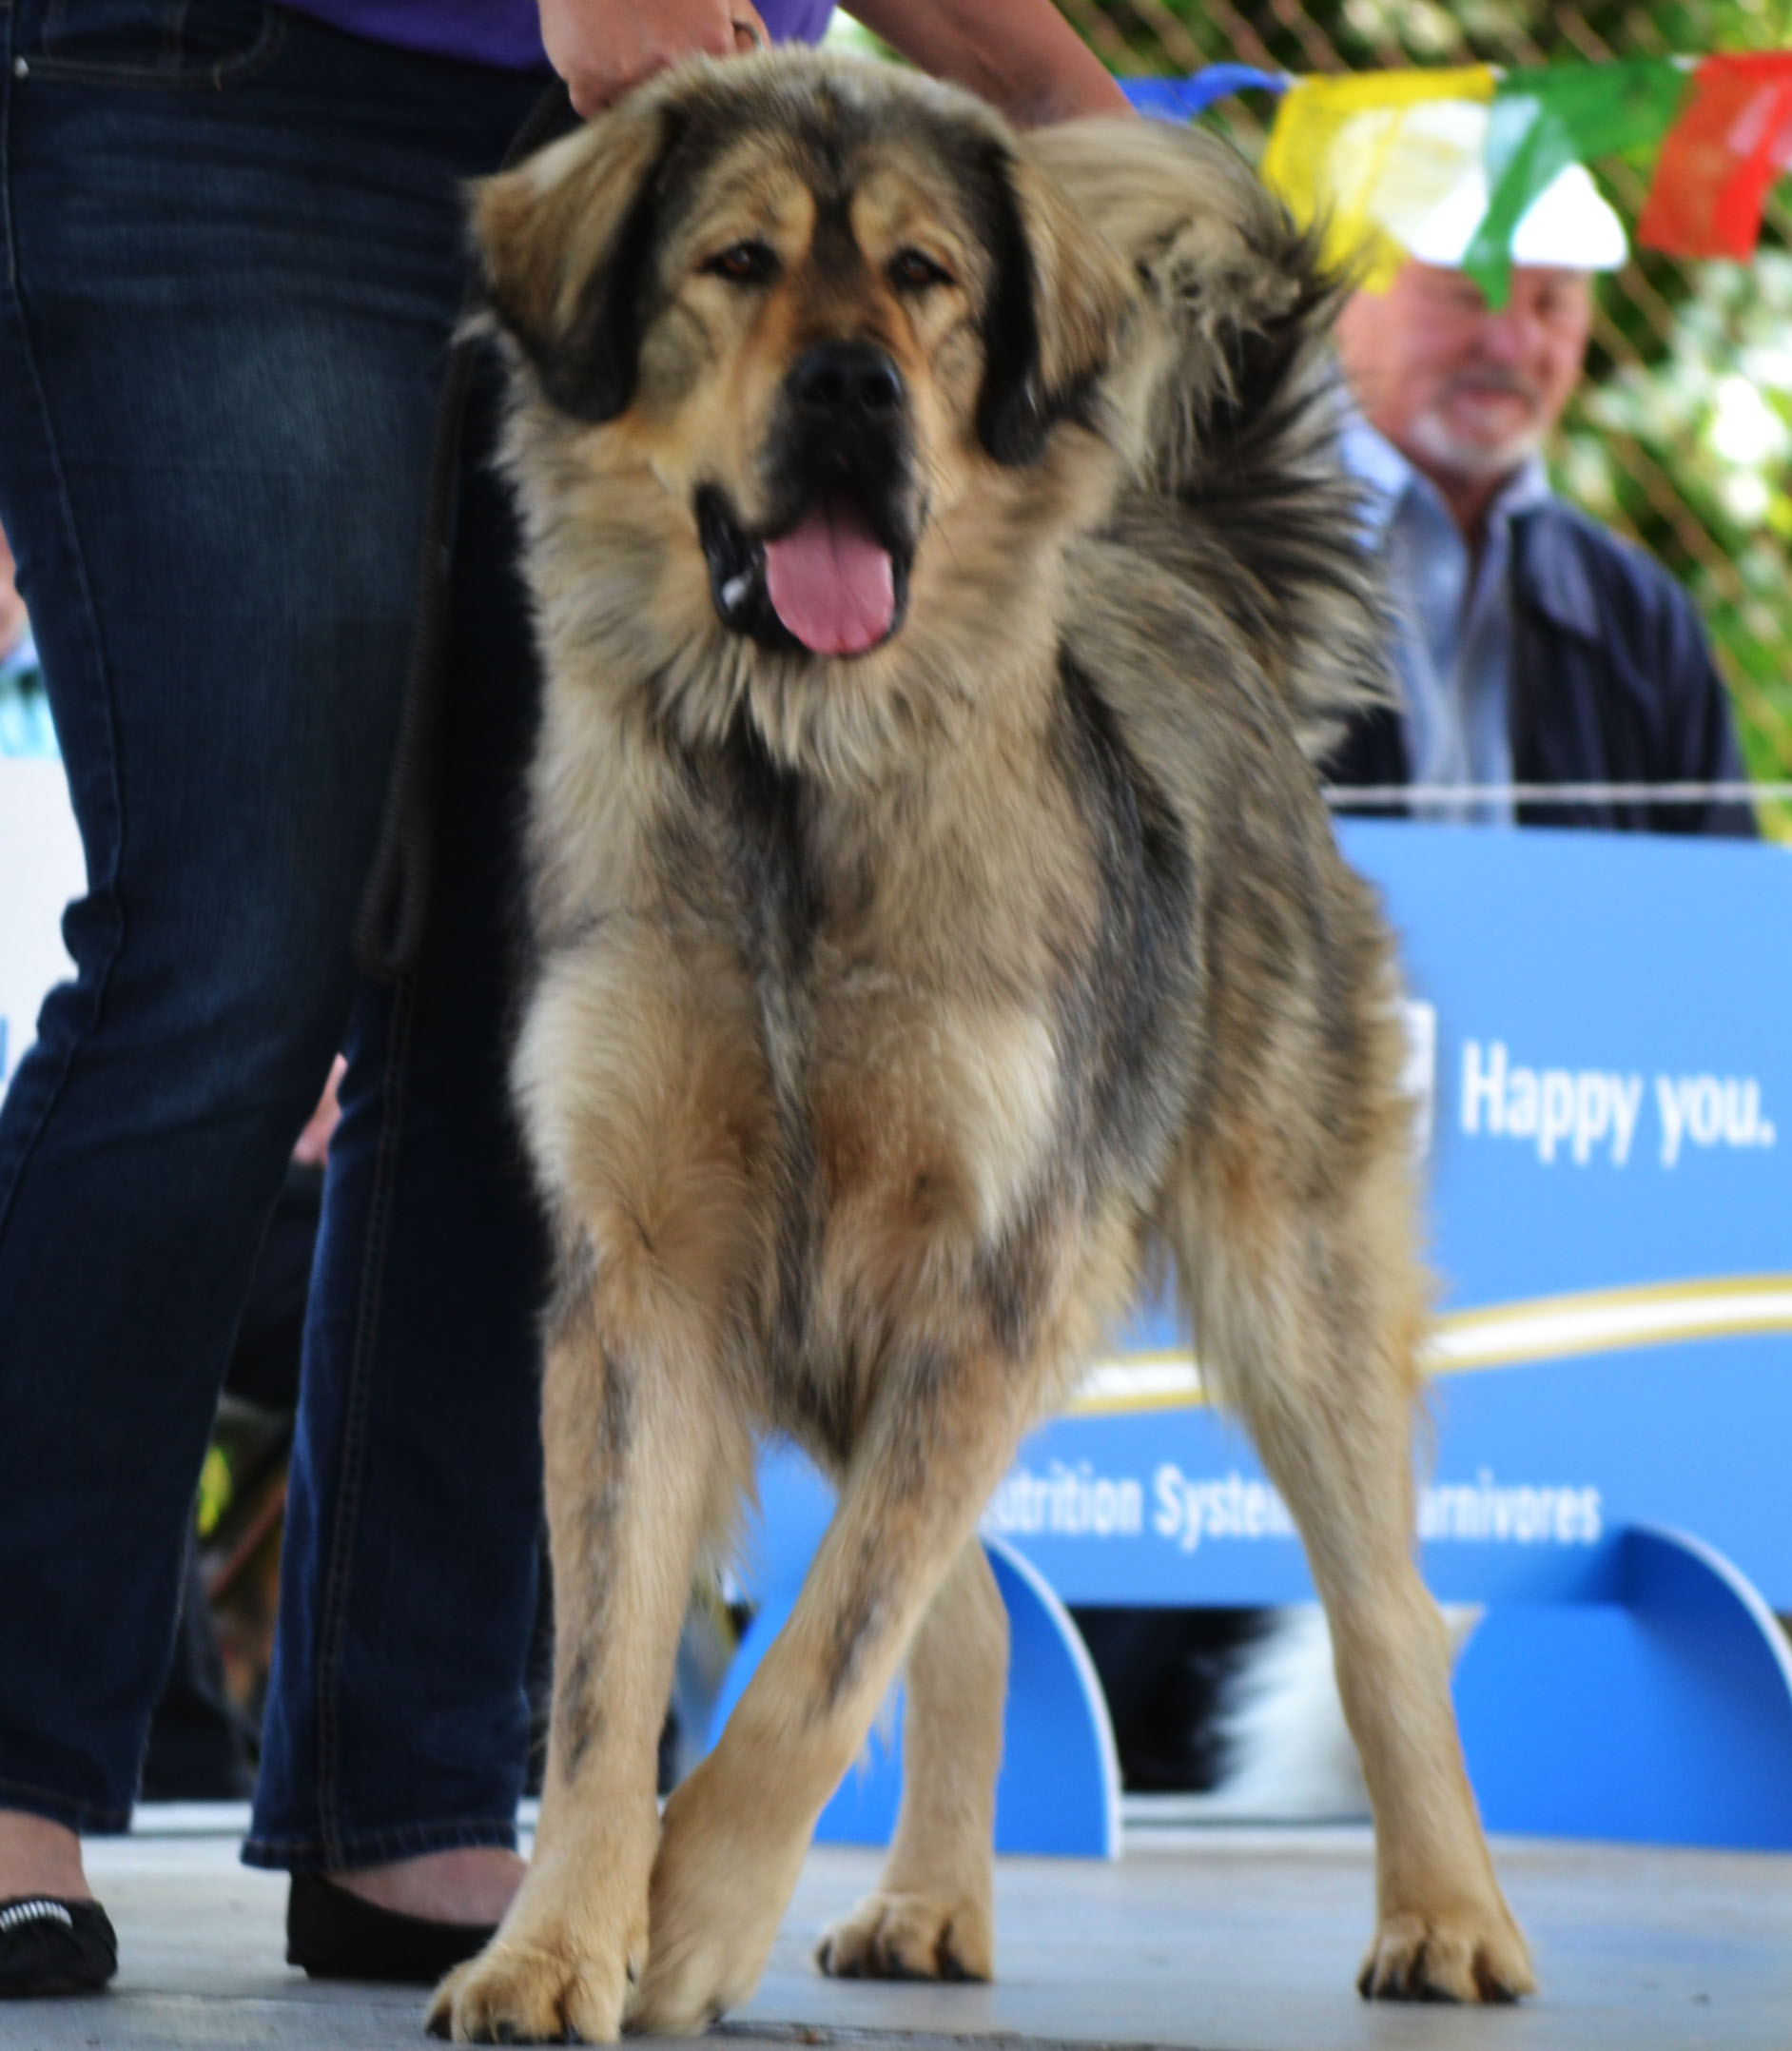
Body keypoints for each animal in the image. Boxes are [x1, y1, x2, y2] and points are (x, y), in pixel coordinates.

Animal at [426, 56, 1525, 2042]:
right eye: (735, 260)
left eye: (924, 279)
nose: (852, 389)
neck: (795, 776)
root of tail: (1188, 589)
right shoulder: (649, 1282)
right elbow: (608, 1681)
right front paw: (554, 1944)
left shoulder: (996, 1266)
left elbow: (810, 1662)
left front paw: (685, 1920)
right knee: (977, 1605)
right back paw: (930, 1901)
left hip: (1279, 1282)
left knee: (1383, 1612)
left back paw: (1448, 1915)